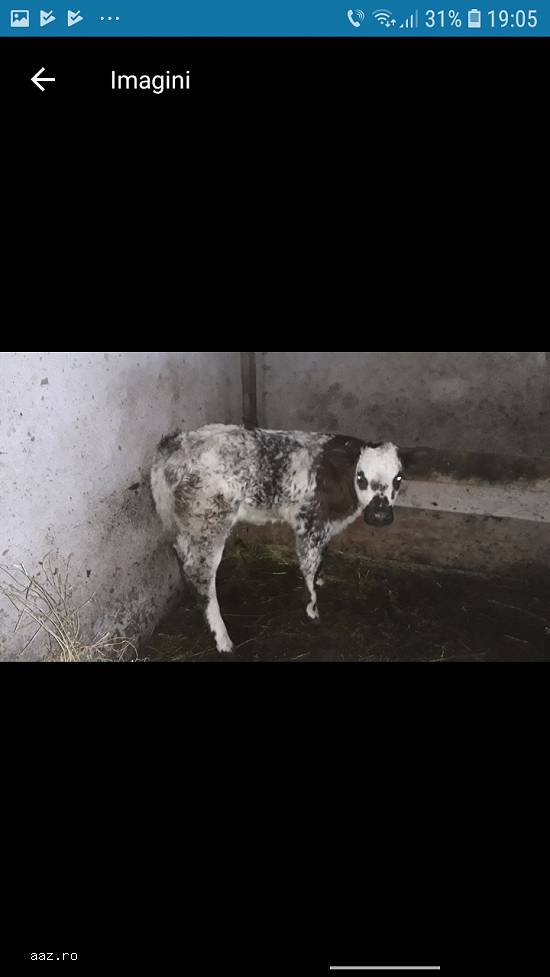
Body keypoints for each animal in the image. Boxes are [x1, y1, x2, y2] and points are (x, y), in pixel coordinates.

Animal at [151, 425, 403, 654]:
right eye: (361, 476)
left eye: (398, 478)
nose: (380, 515)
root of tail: (177, 443)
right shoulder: (310, 524)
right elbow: (309, 564)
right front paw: (312, 608)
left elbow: (321, 557)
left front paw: (321, 579)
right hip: (208, 524)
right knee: (201, 575)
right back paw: (222, 639)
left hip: (185, 526)